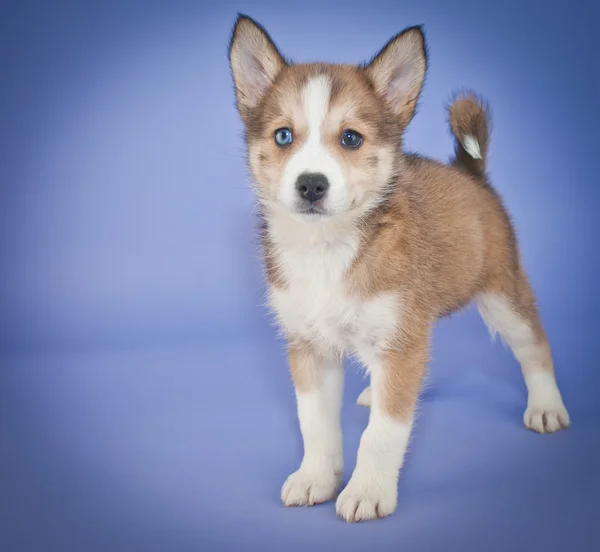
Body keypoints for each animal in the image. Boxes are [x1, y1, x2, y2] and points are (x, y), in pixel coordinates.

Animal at [227, 12, 568, 520]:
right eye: (283, 136)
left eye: (351, 138)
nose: (311, 185)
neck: (328, 250)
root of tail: (470, 172)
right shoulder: (310, 348)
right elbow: (315, 425)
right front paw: (315, 478)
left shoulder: (402, 341)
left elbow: (382, 434)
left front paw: (367, 491)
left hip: (502, 296)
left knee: (534, 345)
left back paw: (546, 406)